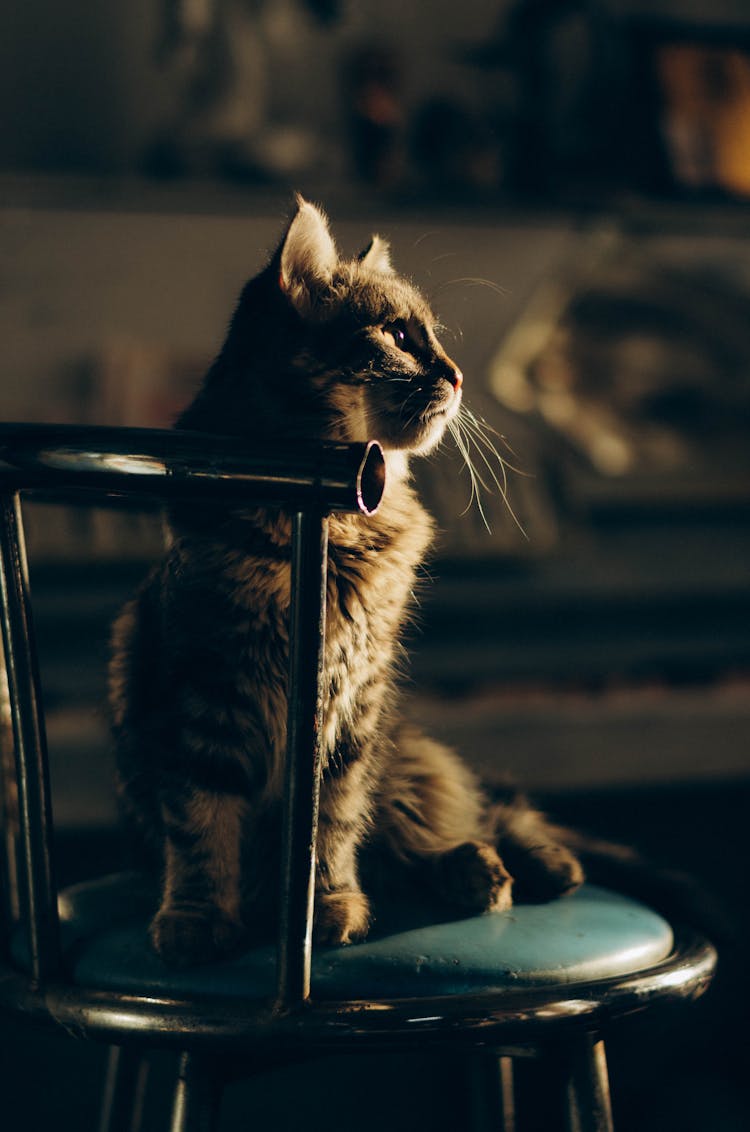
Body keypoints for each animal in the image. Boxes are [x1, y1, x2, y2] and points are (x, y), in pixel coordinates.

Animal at [108, 192, 583, 964]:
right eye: (397, 334)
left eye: (431, 336)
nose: (458, 376)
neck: (330, 529)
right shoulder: (203, 697)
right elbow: (202, 829)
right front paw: (199, 919)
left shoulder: (351, 711)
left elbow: (328, 828)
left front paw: (325, 909)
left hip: (406, 759)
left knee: (479, 812)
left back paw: (524, 868)